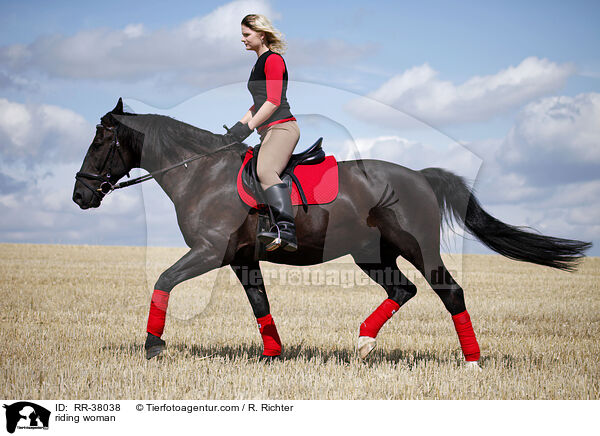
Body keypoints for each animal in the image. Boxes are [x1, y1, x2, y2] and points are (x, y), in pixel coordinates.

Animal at [71, 98, 592, 364]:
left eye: (100, 141)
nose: (80, 195)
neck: (201, 172)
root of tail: (421, 176)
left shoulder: (209, 251)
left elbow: (162, 281)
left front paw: (153, 346)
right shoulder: (241, 257)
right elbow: (260, 304)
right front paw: (273, 355)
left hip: (417, 248)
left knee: (450, 292)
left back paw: (471, 360)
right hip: (372, 254)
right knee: (402, 291)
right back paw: (362, 343)